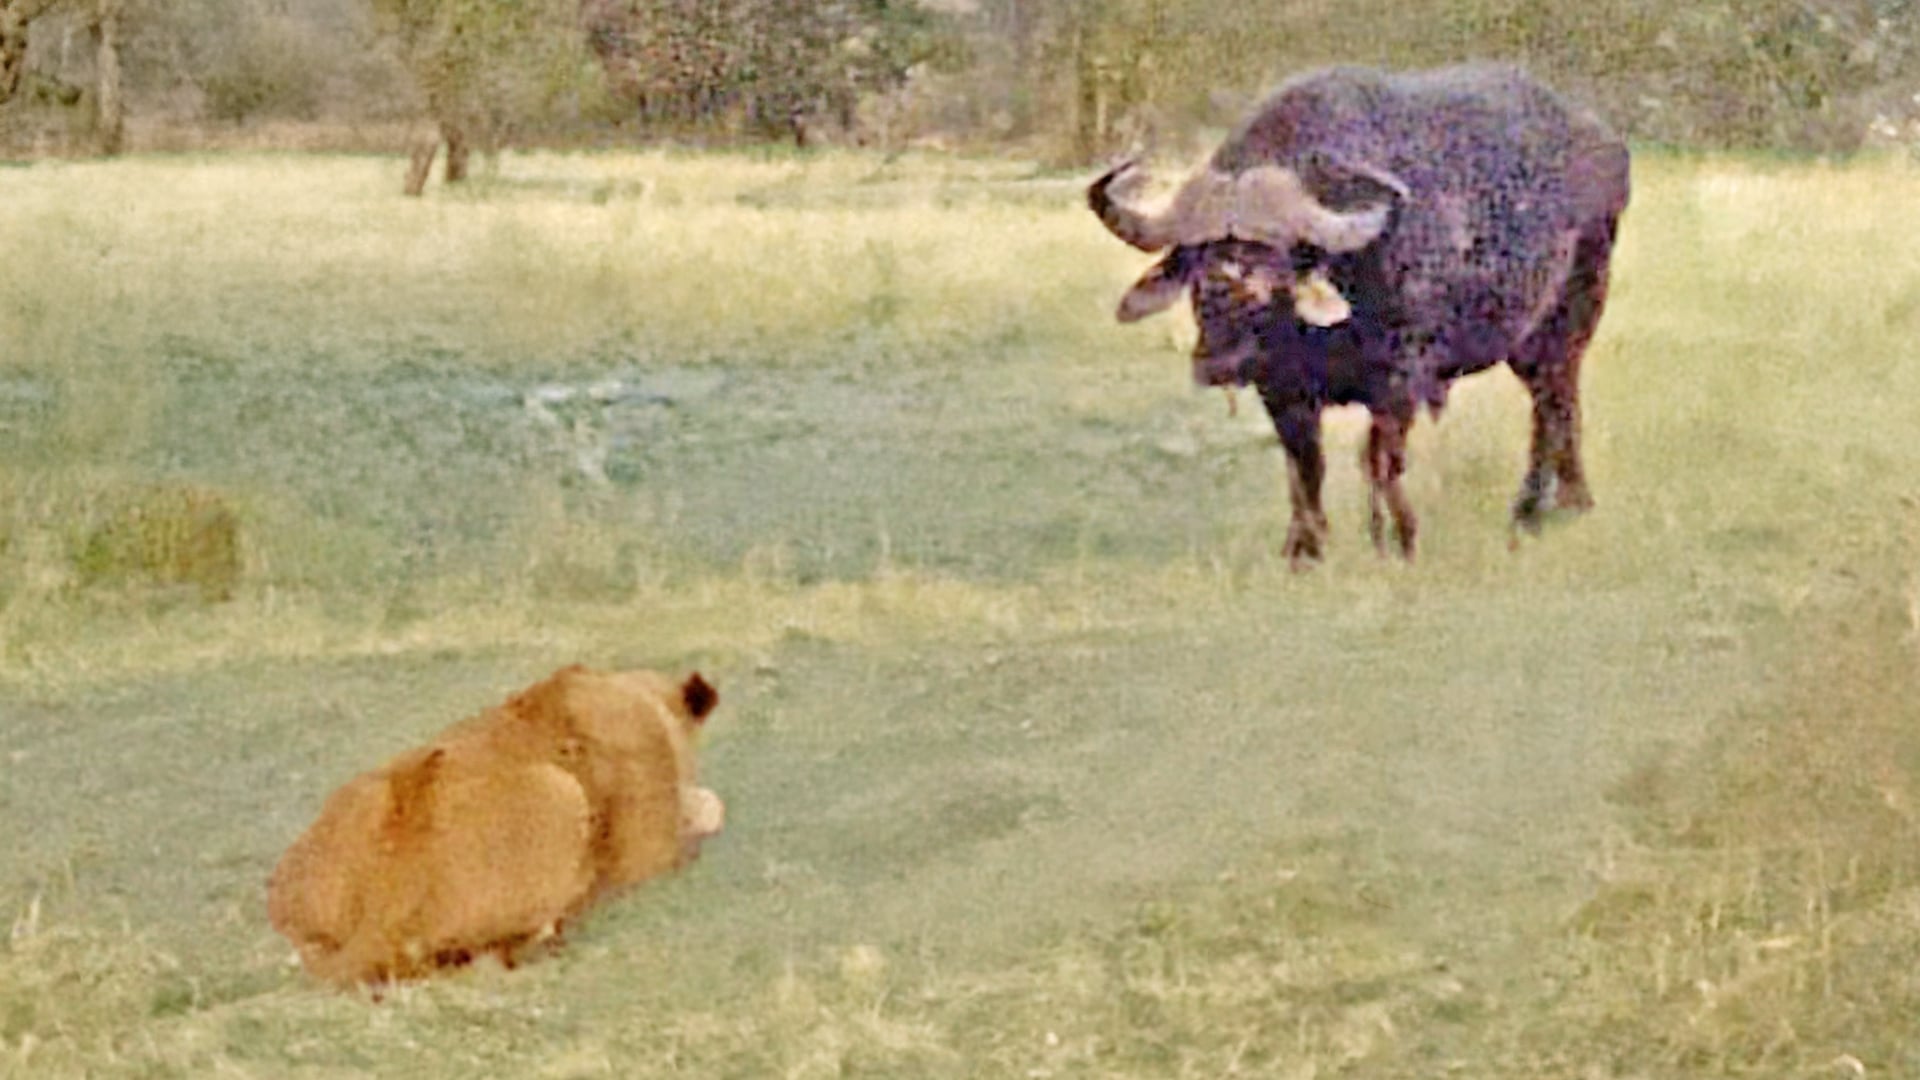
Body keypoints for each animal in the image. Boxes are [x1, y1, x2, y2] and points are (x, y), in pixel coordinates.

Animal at [1088, 63, 1630, 563]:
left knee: (1555, 406)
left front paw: (1398, 540)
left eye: (1275, 264)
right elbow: (1307, 466)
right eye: (1198, 265)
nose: (1219, 363)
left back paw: (1535, 510)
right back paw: (1566, 505)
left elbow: (1380, 460)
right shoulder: (1281, 392)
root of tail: (1606, 147)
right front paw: (1304, 549)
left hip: (1568, 318)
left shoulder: (1399, 382)